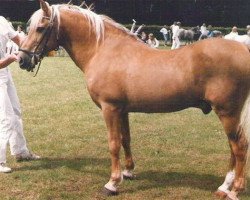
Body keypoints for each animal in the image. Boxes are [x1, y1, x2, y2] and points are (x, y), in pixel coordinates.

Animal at [18, 0, 250, 199]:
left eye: (41, 28)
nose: (22, 59)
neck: (103, 49)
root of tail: (242, 49)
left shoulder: (109, 108)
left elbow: (113, 143)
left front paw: (112, 183)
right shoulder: (122, 110)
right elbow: (125, 139)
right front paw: (128, 172)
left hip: (227, 112)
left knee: (239, 146)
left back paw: (234, 190)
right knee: (233, 147)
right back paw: (224, 186)